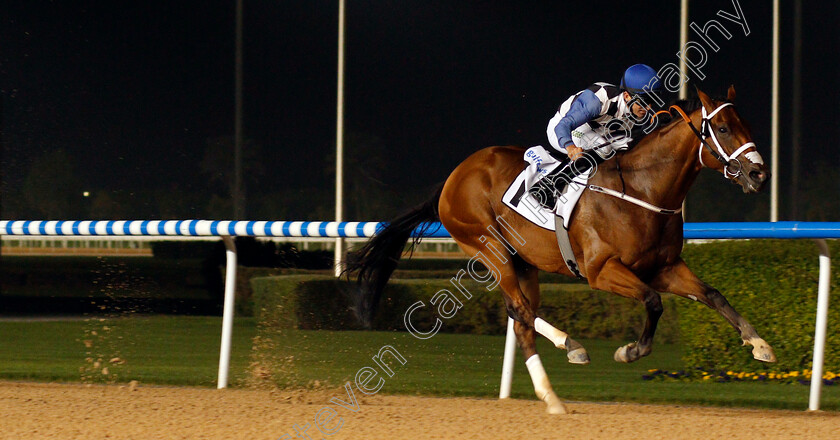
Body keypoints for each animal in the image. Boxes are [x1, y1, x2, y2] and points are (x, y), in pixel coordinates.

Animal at [346, 87, 776, 414]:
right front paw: (629, 351)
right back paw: (561, 372)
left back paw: (561, 372)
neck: (644, 190)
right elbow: (653, 303)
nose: (759, 174)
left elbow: (713, 295)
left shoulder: (665, 267)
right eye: (722, 127)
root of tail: (453, 178)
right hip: (490, 249)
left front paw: (759, 344)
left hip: (525, 261)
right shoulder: (602, 271)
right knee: (520, 310)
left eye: (747, 125)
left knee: (521, 315)